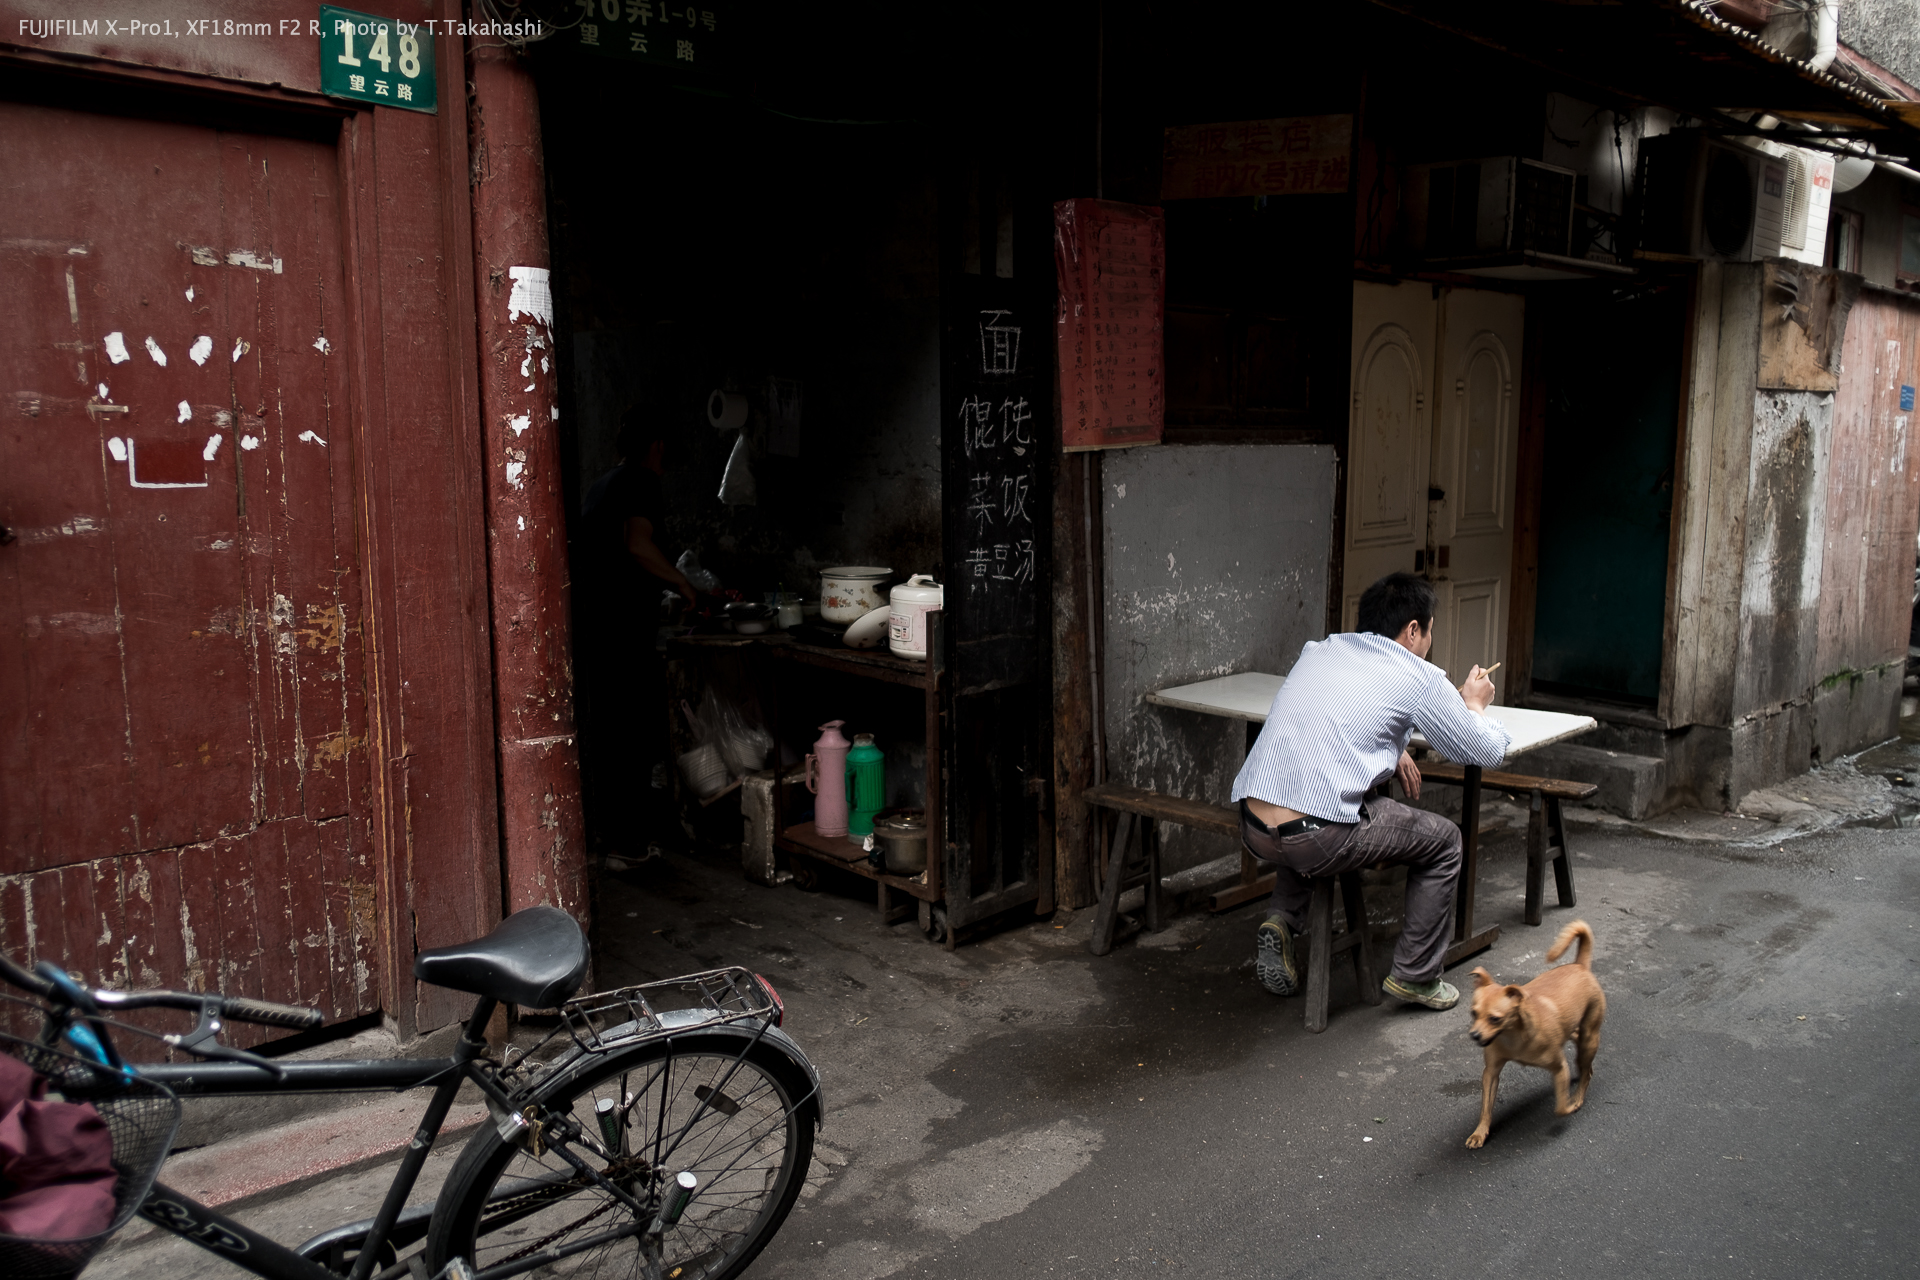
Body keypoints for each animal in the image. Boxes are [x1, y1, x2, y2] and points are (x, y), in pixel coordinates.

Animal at [1466, 921, 1605, 1151]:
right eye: (1473, 1014)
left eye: (1495, 1019)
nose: (1475, 1035)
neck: (1513, 1037)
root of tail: (1580, 966)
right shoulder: (1491, 1073)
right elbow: (1486, 1108)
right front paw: (1480, 1133)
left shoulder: (1559, 1067)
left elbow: (1560, 1107)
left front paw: (1569, 1105)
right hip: (1577, 1033)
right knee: (1581, 1053)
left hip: (1589, 1037)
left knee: (1586, 1071)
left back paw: (1578, 1096)